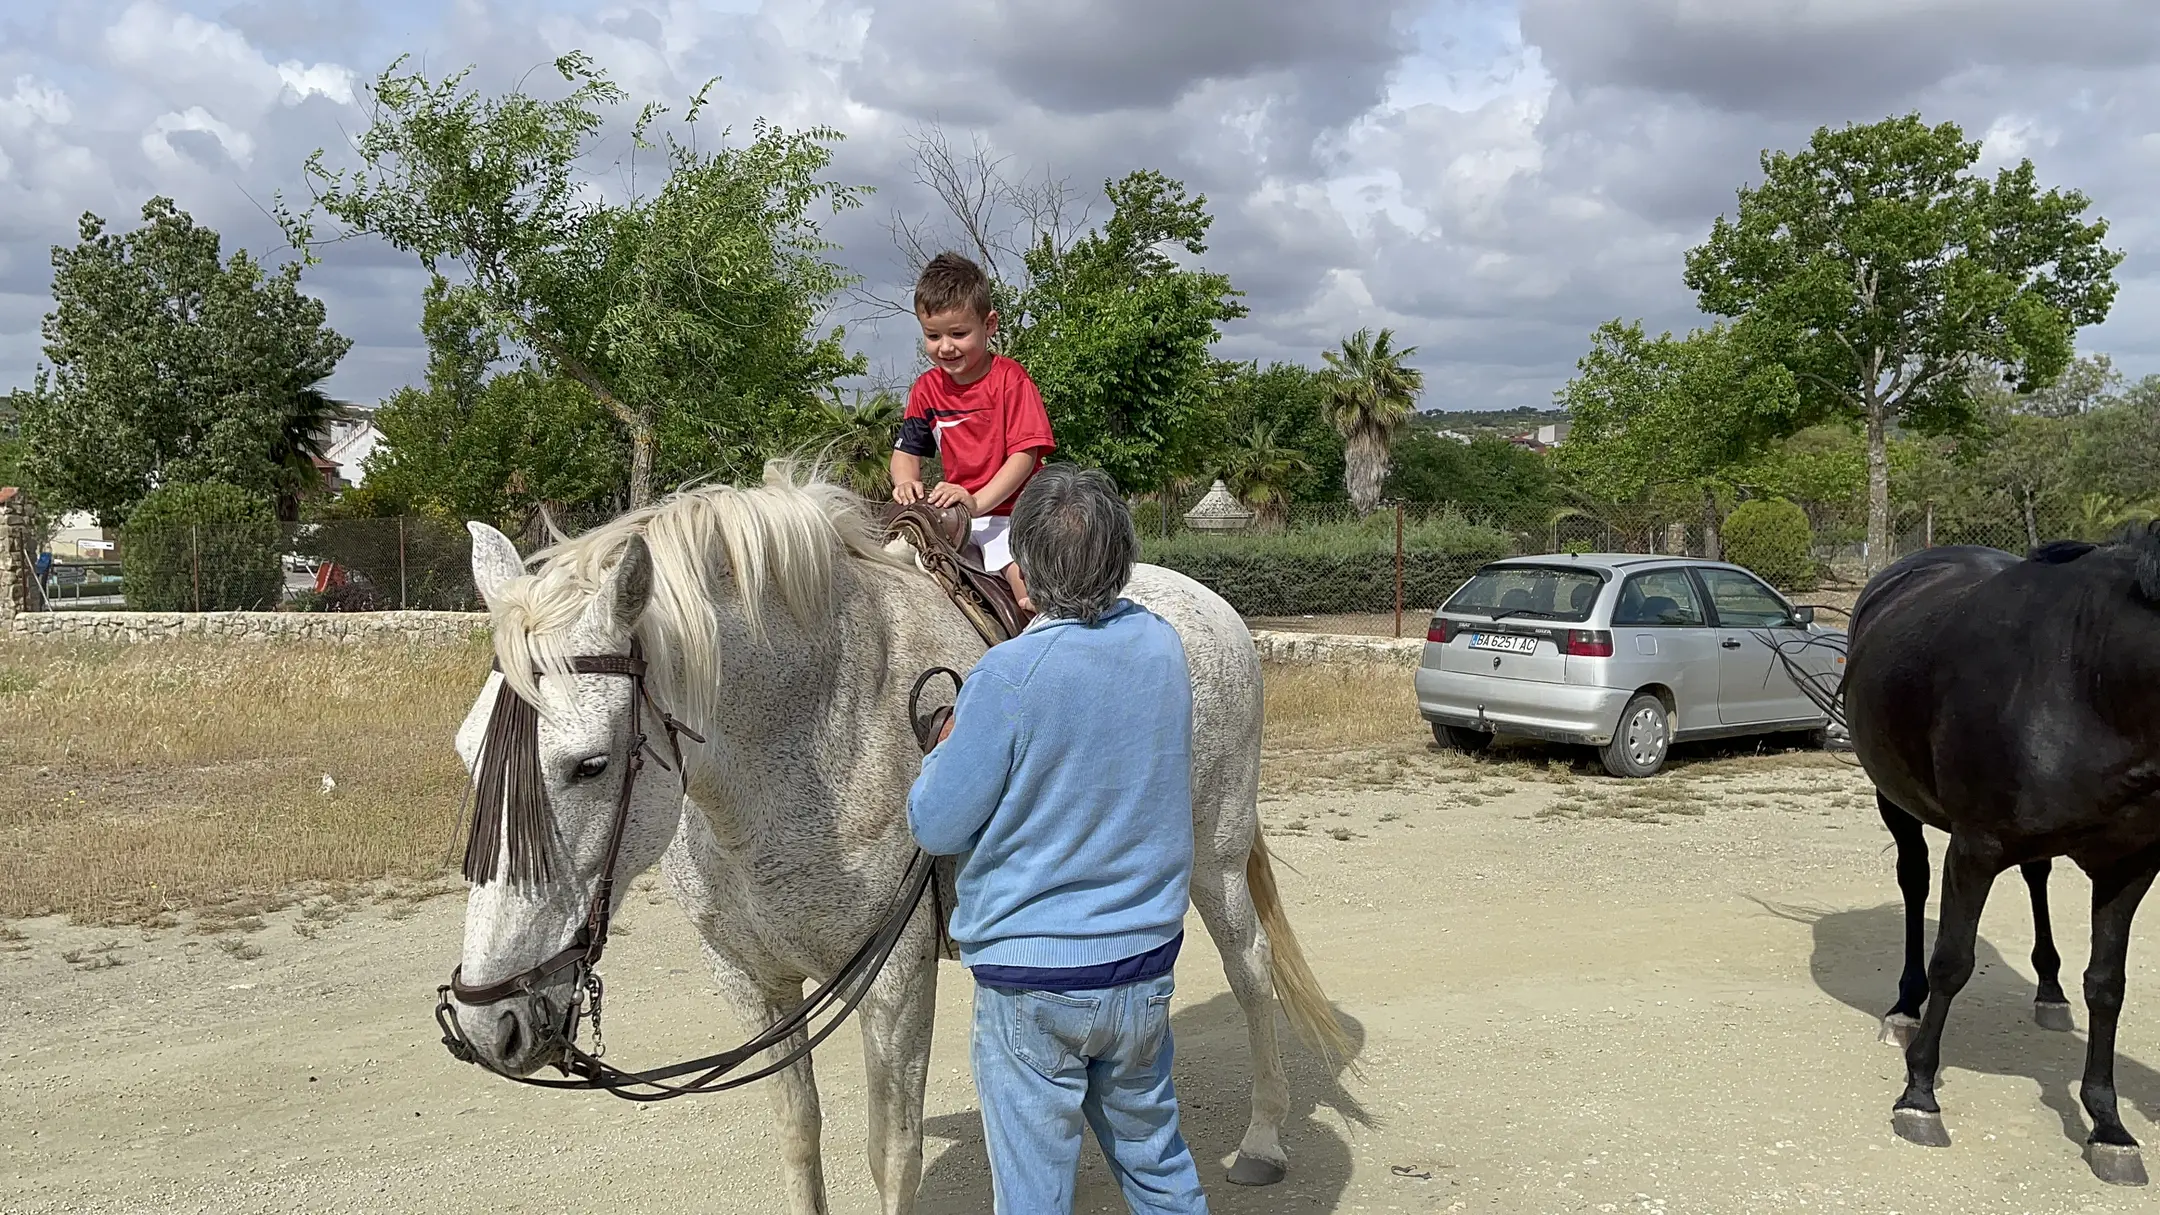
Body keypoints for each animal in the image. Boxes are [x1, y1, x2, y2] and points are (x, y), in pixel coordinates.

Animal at [444, 460, 1339, 1202]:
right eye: (467, 752)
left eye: (589, 765)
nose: (491, 1022)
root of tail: (1209, 603)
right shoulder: (752, 981)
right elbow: (797, 1133)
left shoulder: (895, 980)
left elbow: (891, 1151)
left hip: (1216, 860)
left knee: (1250, 966)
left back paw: (1264, 1140)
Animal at [1848, 525, 2160, 1176]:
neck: (2089, 682)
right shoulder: (1975, 848)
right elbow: (1952, 961)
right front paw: (1919, 1095)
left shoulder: (2131, 866)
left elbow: (2108, 985)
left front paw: (2109, 1125)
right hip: (1896, 799)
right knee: (1914, 882)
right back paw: (1905, 1006)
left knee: (2037, 875)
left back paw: (2049, 991)